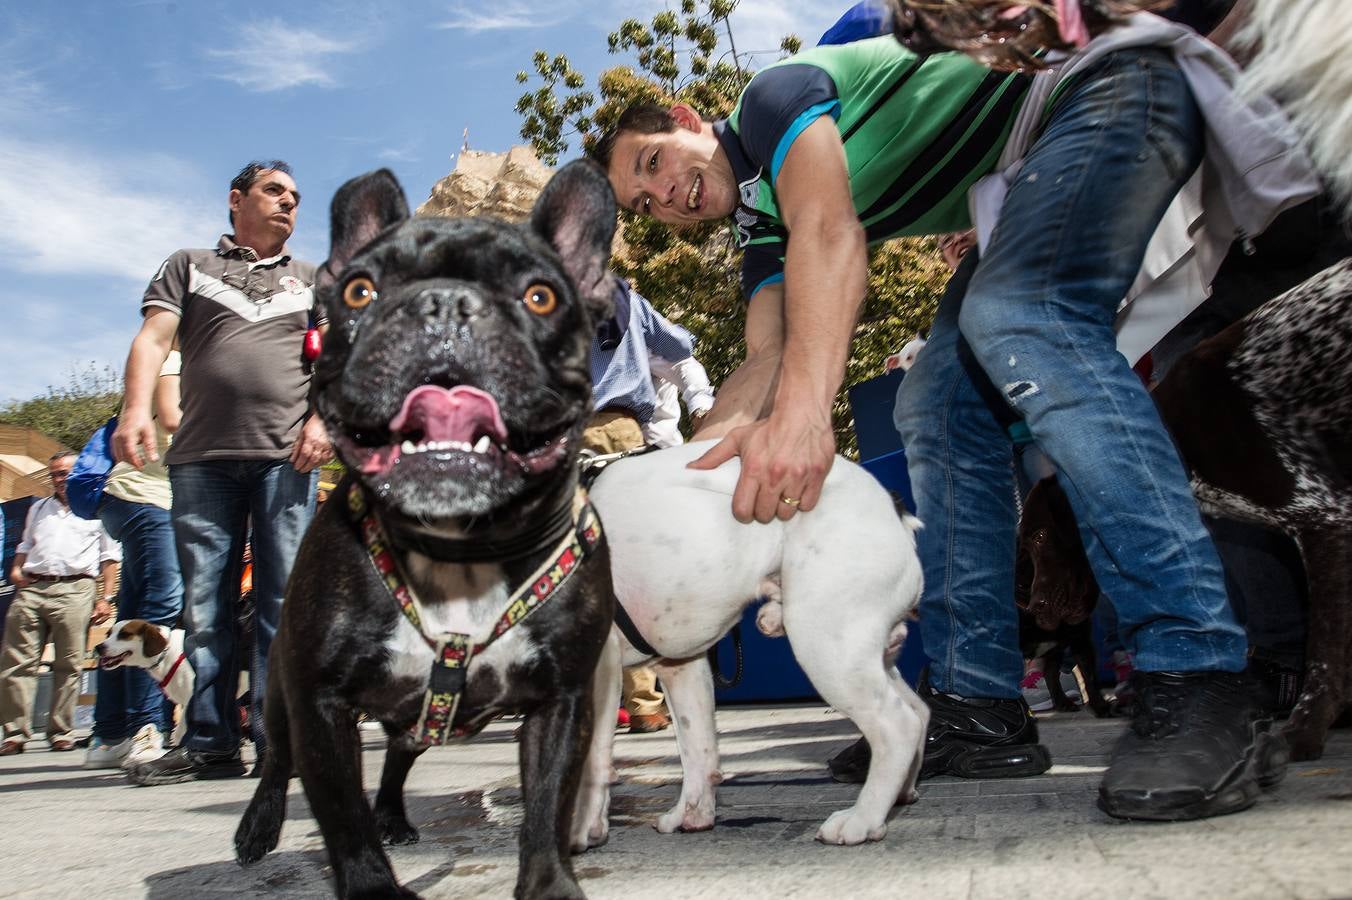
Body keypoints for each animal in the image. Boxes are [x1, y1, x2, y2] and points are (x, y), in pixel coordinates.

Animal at [570, 440, 930, 848]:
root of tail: (890, 504)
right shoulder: (682, 667)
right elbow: (698, 747)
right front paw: (693, 814)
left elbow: (590, 760)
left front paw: (581, 828)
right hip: (862, 651)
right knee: (918, 709)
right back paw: (899, 794)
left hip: (828, 645)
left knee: (896, 725)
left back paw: (862, 820)